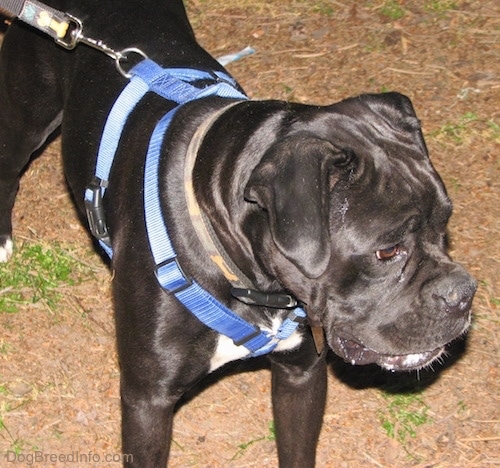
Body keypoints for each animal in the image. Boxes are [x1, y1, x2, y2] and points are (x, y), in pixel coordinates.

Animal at [0, 0, 476, 468]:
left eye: (445, 225)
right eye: (387, 251)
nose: (463, 292)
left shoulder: (302, 373)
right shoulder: (147, 400)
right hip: (24, 121)